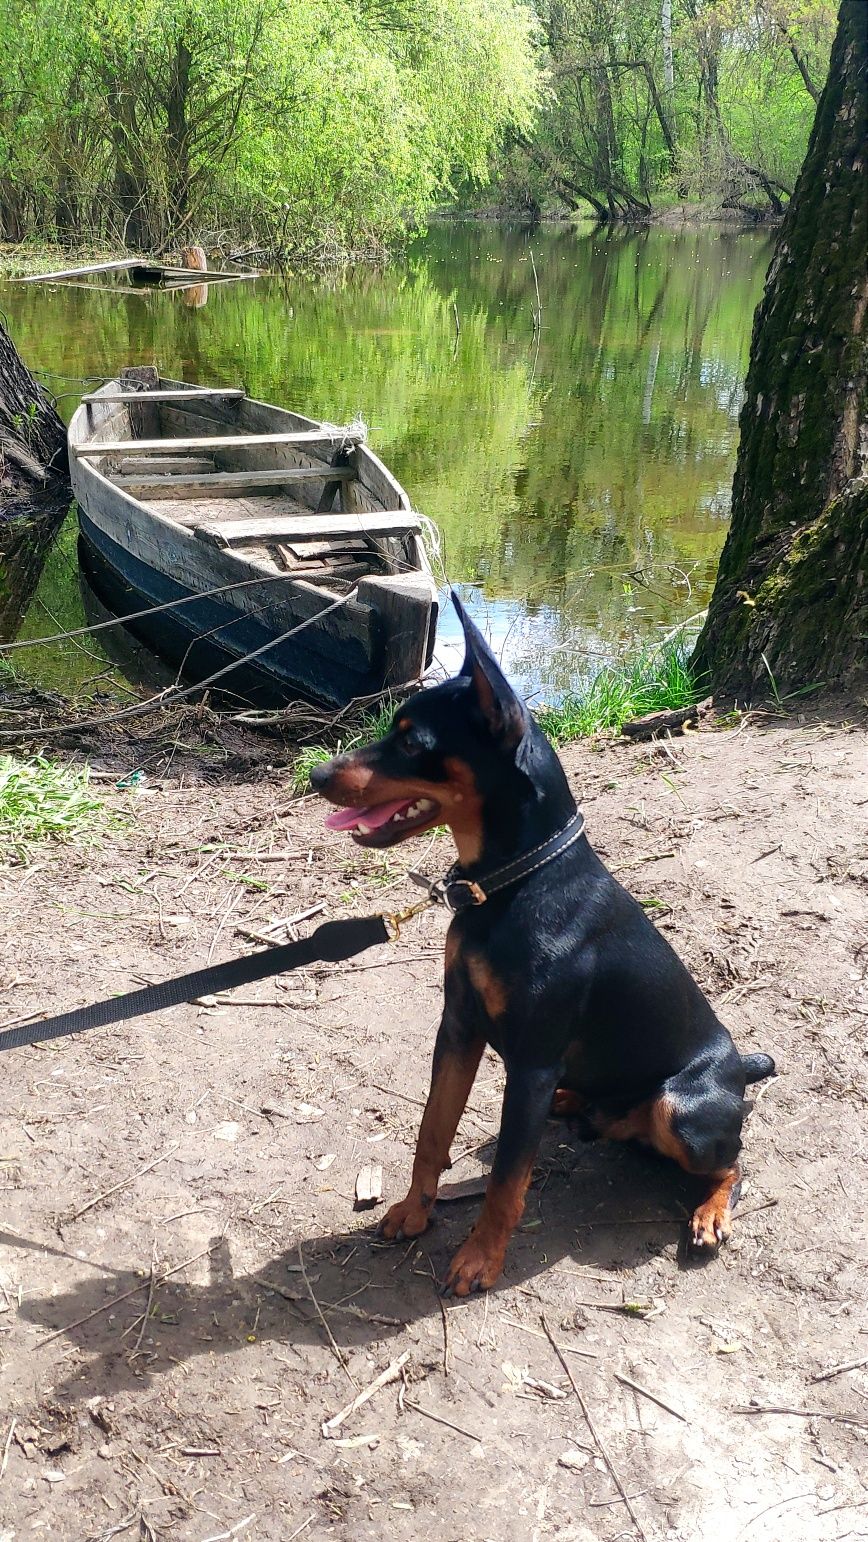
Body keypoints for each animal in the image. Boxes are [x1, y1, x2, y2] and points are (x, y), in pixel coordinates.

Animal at [312, 595, 773, 1295]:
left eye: (413, 740)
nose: (316, 774)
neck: (510, 886)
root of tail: (740, 1068)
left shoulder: (528, 1062)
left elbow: (507, 1180)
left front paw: (479, 1259)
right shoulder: (459, 1025)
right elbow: (432, 1131)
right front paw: (414, 1212)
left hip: (682, 1110)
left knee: (733, 1163)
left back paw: (711, 1213)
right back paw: (578, 1104)